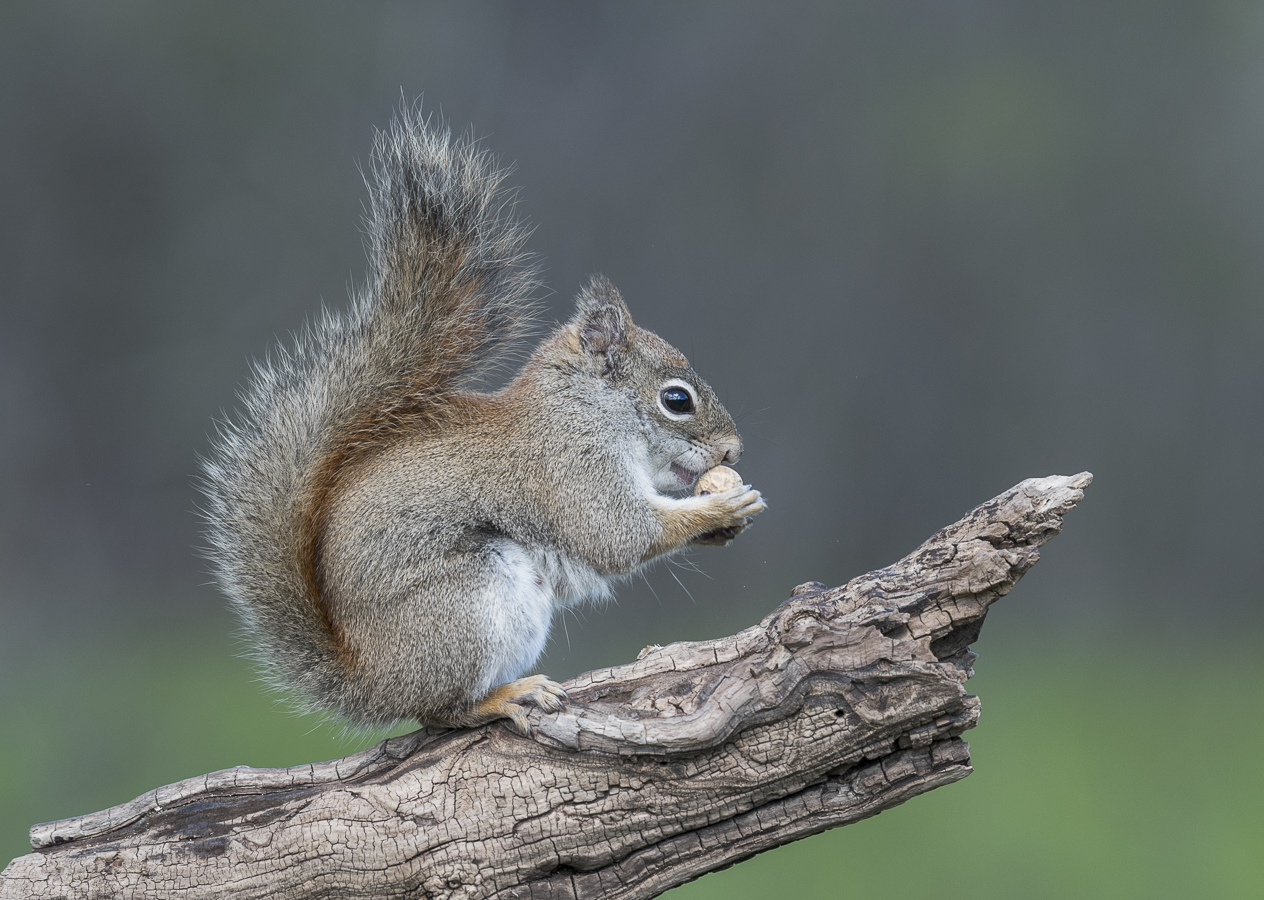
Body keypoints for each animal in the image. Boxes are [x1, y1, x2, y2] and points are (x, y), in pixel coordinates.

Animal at [201, 108, 766, 734]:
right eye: (677, 399)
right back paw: (506, 696)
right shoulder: (571, 464)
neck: (584, 408)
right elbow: (617, 535)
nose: (733, 452)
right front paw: (720, 507)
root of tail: (371, 681)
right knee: (442, 711)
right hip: (470, 605)